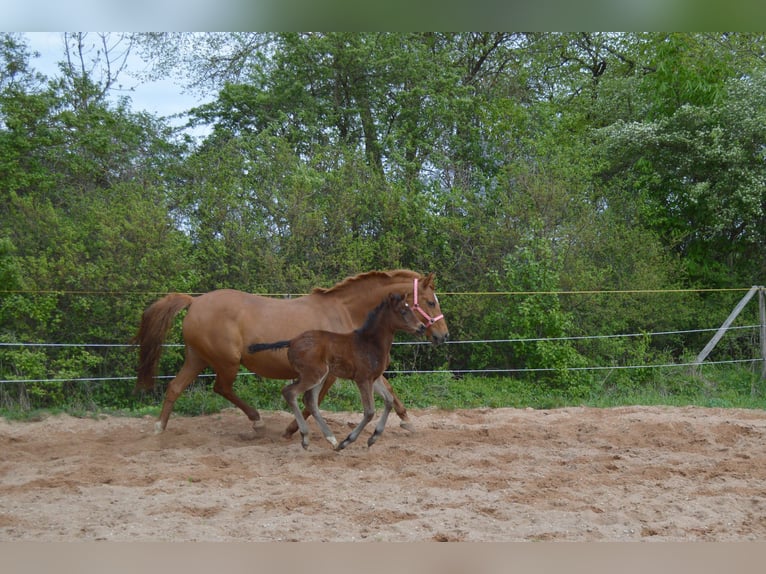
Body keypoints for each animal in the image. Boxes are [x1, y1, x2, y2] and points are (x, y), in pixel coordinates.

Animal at [134, 270, 450, 436]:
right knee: (220, 388)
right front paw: (290, 429)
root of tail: (195, 302)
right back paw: (257, 420)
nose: (442, 335)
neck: (346, 312)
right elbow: (313, 401)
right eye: (430, 302)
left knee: (175, 388)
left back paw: (159, 428)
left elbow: (390, 390)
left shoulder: (362, 367)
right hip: (226, 362)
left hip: (197, 358)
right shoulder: (329, 373)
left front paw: (407, 420)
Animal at [252, 294, 432, 452]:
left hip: (320, 377)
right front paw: (347, 441)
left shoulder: (374, 378)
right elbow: (369, 411)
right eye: (402, 311)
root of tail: (292, 341)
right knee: (290, 392)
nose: (422, 327)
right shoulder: (362, 379)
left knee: (309, 400)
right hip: (314, 375)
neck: (370, 343)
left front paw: (373, 438)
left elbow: (388, 400)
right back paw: (306, 438)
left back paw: (331, 439)